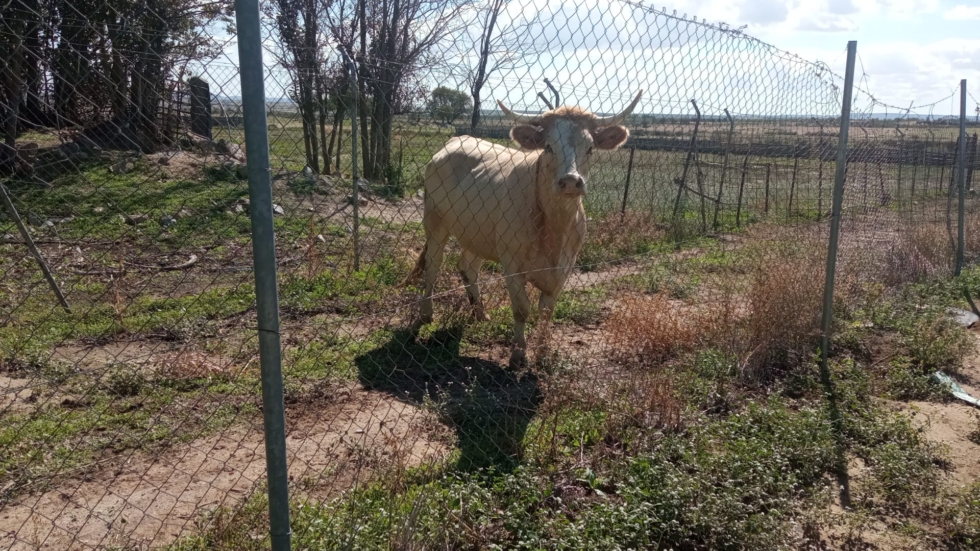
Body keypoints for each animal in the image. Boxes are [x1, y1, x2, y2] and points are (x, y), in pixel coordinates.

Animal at [406, 90, 644, 368]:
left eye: (590, 148)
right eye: (549, 147)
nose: (570, 182)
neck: (554, 228)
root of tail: (458, 139)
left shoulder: (566, 266)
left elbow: (547, 310)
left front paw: (542, 351)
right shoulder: (512, 263)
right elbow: (522, 309)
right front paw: (518, 354)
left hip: (477, 233)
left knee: (468, 267)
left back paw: (480, 314)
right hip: (435, 223)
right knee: (433, 266)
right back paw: (425, 316)